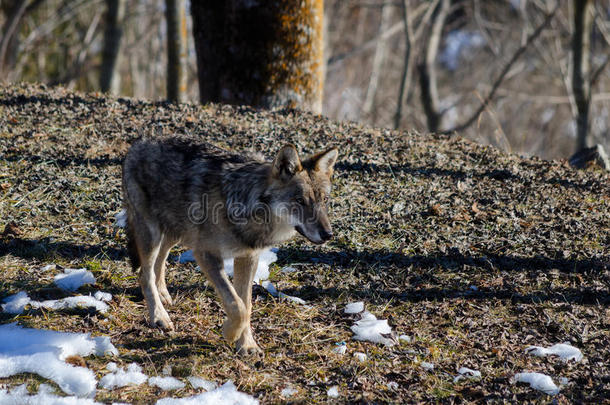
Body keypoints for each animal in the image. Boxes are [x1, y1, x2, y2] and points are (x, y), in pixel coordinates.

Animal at [120, 138, 334, 354]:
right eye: (300, 200)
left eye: (324, 200)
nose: (328, 234)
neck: (250, 207)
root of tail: (139, 144)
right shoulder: (205, 254)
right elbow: (237, 305)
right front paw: (230, 333)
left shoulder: (248, 257)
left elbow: (246, 305)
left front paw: (246, 345)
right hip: (153, 235)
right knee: (144, 273)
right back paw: (159, 316)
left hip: (176, 233)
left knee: (160, 260)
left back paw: (163, 294)